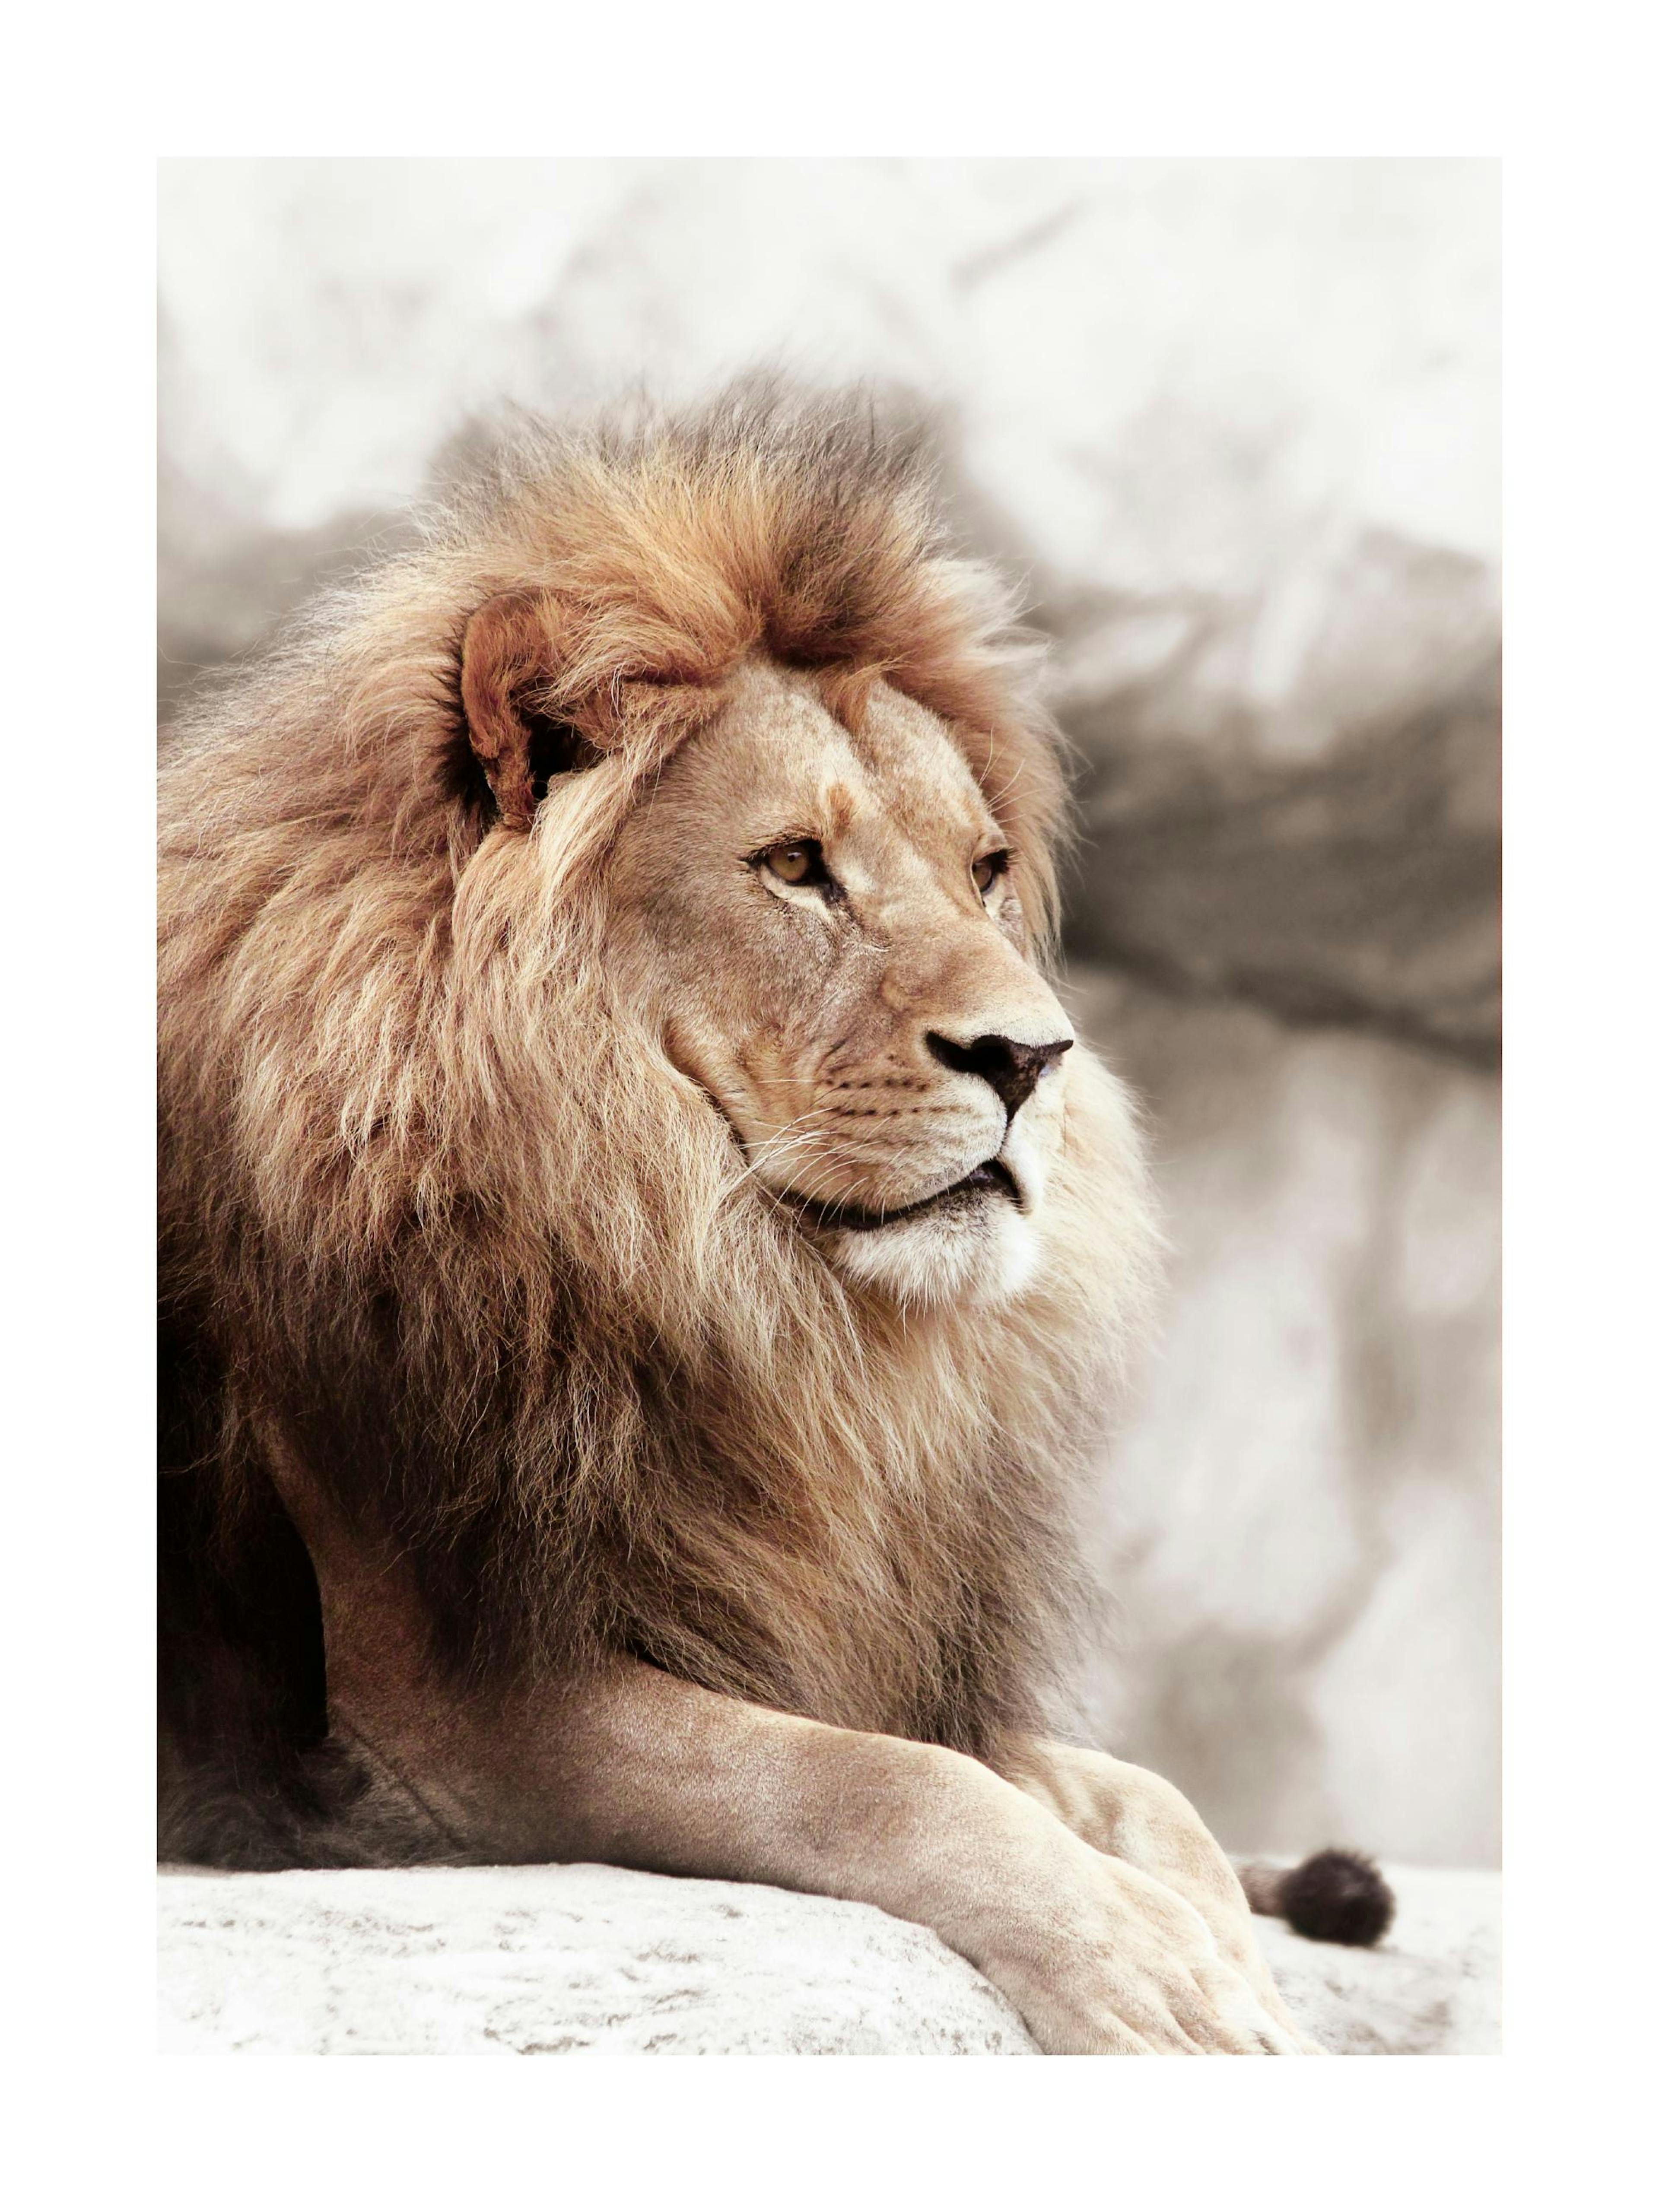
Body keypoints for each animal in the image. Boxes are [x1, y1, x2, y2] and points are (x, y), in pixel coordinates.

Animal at [159, 381, 1386, 2054]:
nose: (1034, 1058)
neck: (737, 1292)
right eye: (798, 867)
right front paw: (1150, 1976)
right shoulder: (451, 1716)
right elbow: (881, 1783)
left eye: (984, 872)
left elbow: (1135, 1794)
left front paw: (1225, 1968)